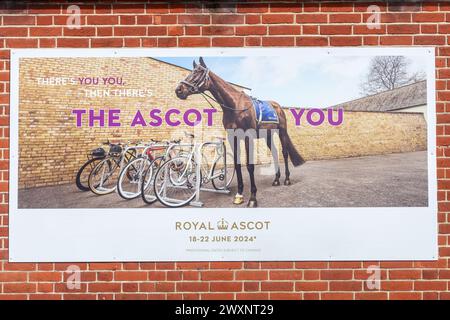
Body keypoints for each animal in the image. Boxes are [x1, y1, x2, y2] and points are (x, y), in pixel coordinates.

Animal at [174, 57, 304, 208]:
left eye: (198, 72)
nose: (179, 90)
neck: (235, 106)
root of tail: (278, 107)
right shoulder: (233, 137)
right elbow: (237, 164)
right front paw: (239, 195)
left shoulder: (248, 137)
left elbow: (249, 165)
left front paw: (253, 198)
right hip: (268, 135)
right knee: (275, 153)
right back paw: (276, 180)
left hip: (281, 132)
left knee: (284, 152)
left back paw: (287, 179)